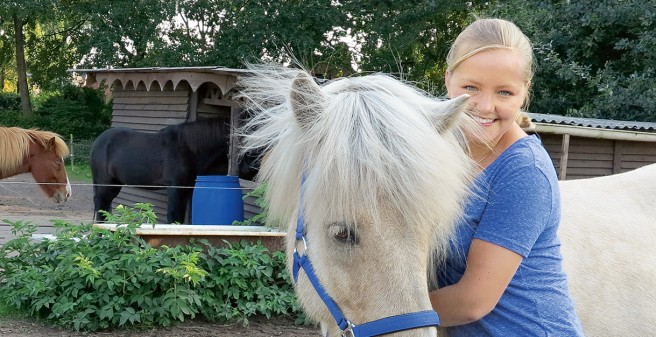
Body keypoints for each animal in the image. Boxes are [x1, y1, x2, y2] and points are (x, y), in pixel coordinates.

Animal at [91, 118, 258, 223]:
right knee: (101, 206)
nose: (252, 172)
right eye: (251, 143)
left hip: (114, 185)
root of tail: (98, 141)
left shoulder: (187, 189)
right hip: (105, 184)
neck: (187, 149)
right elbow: (173, 216)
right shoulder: (175, 188)